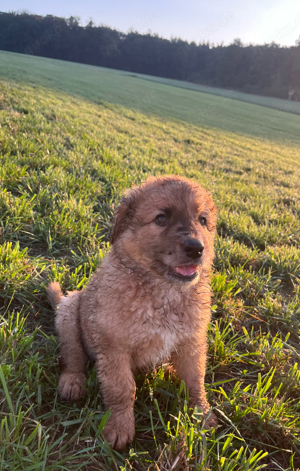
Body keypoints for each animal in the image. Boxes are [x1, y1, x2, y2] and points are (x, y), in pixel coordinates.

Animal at [48, 175, 219, 452]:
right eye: (161, 218)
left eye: (202, 220)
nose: (197, 248)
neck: (163, 292)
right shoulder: (114, 347)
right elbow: (122, 388)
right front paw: (119, 427)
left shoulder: (192, 342)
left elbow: (195, 380)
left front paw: (202, 414)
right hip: (69, 310)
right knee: (72, 355)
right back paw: (72, 382)